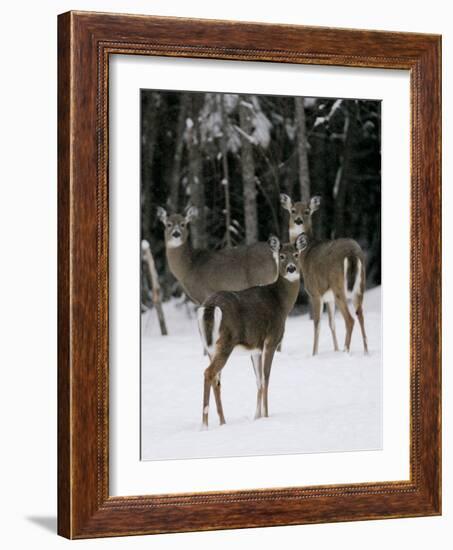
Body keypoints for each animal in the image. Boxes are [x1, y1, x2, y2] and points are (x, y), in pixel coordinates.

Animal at [196, 235, 306, 430]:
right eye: (281, 256)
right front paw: (267, 416)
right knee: (209, 373)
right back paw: (204, 425)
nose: (292, 269)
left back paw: (223, 422)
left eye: (296, 254)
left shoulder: (255, 348)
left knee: (216, 378)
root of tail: (209, 306)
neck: (281, 303)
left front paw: (257, 417)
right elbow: (266, 378)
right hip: (226, 342)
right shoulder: (271, 340)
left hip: (209, 346)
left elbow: (258, 380)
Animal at [278, 194, 368, 358]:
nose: (298, 220)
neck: (305, 254)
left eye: (307, 211)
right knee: (360, 314)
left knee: (350, 319)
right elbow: (331, 323)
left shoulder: (315, 292)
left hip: (339, 286)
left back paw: (346, 351)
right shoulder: (328, 297)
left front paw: (314, 354)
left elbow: (317, 323)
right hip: (359, 285)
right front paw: (335, 349)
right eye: (293, 210)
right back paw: (365, 352)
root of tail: (352, 253)